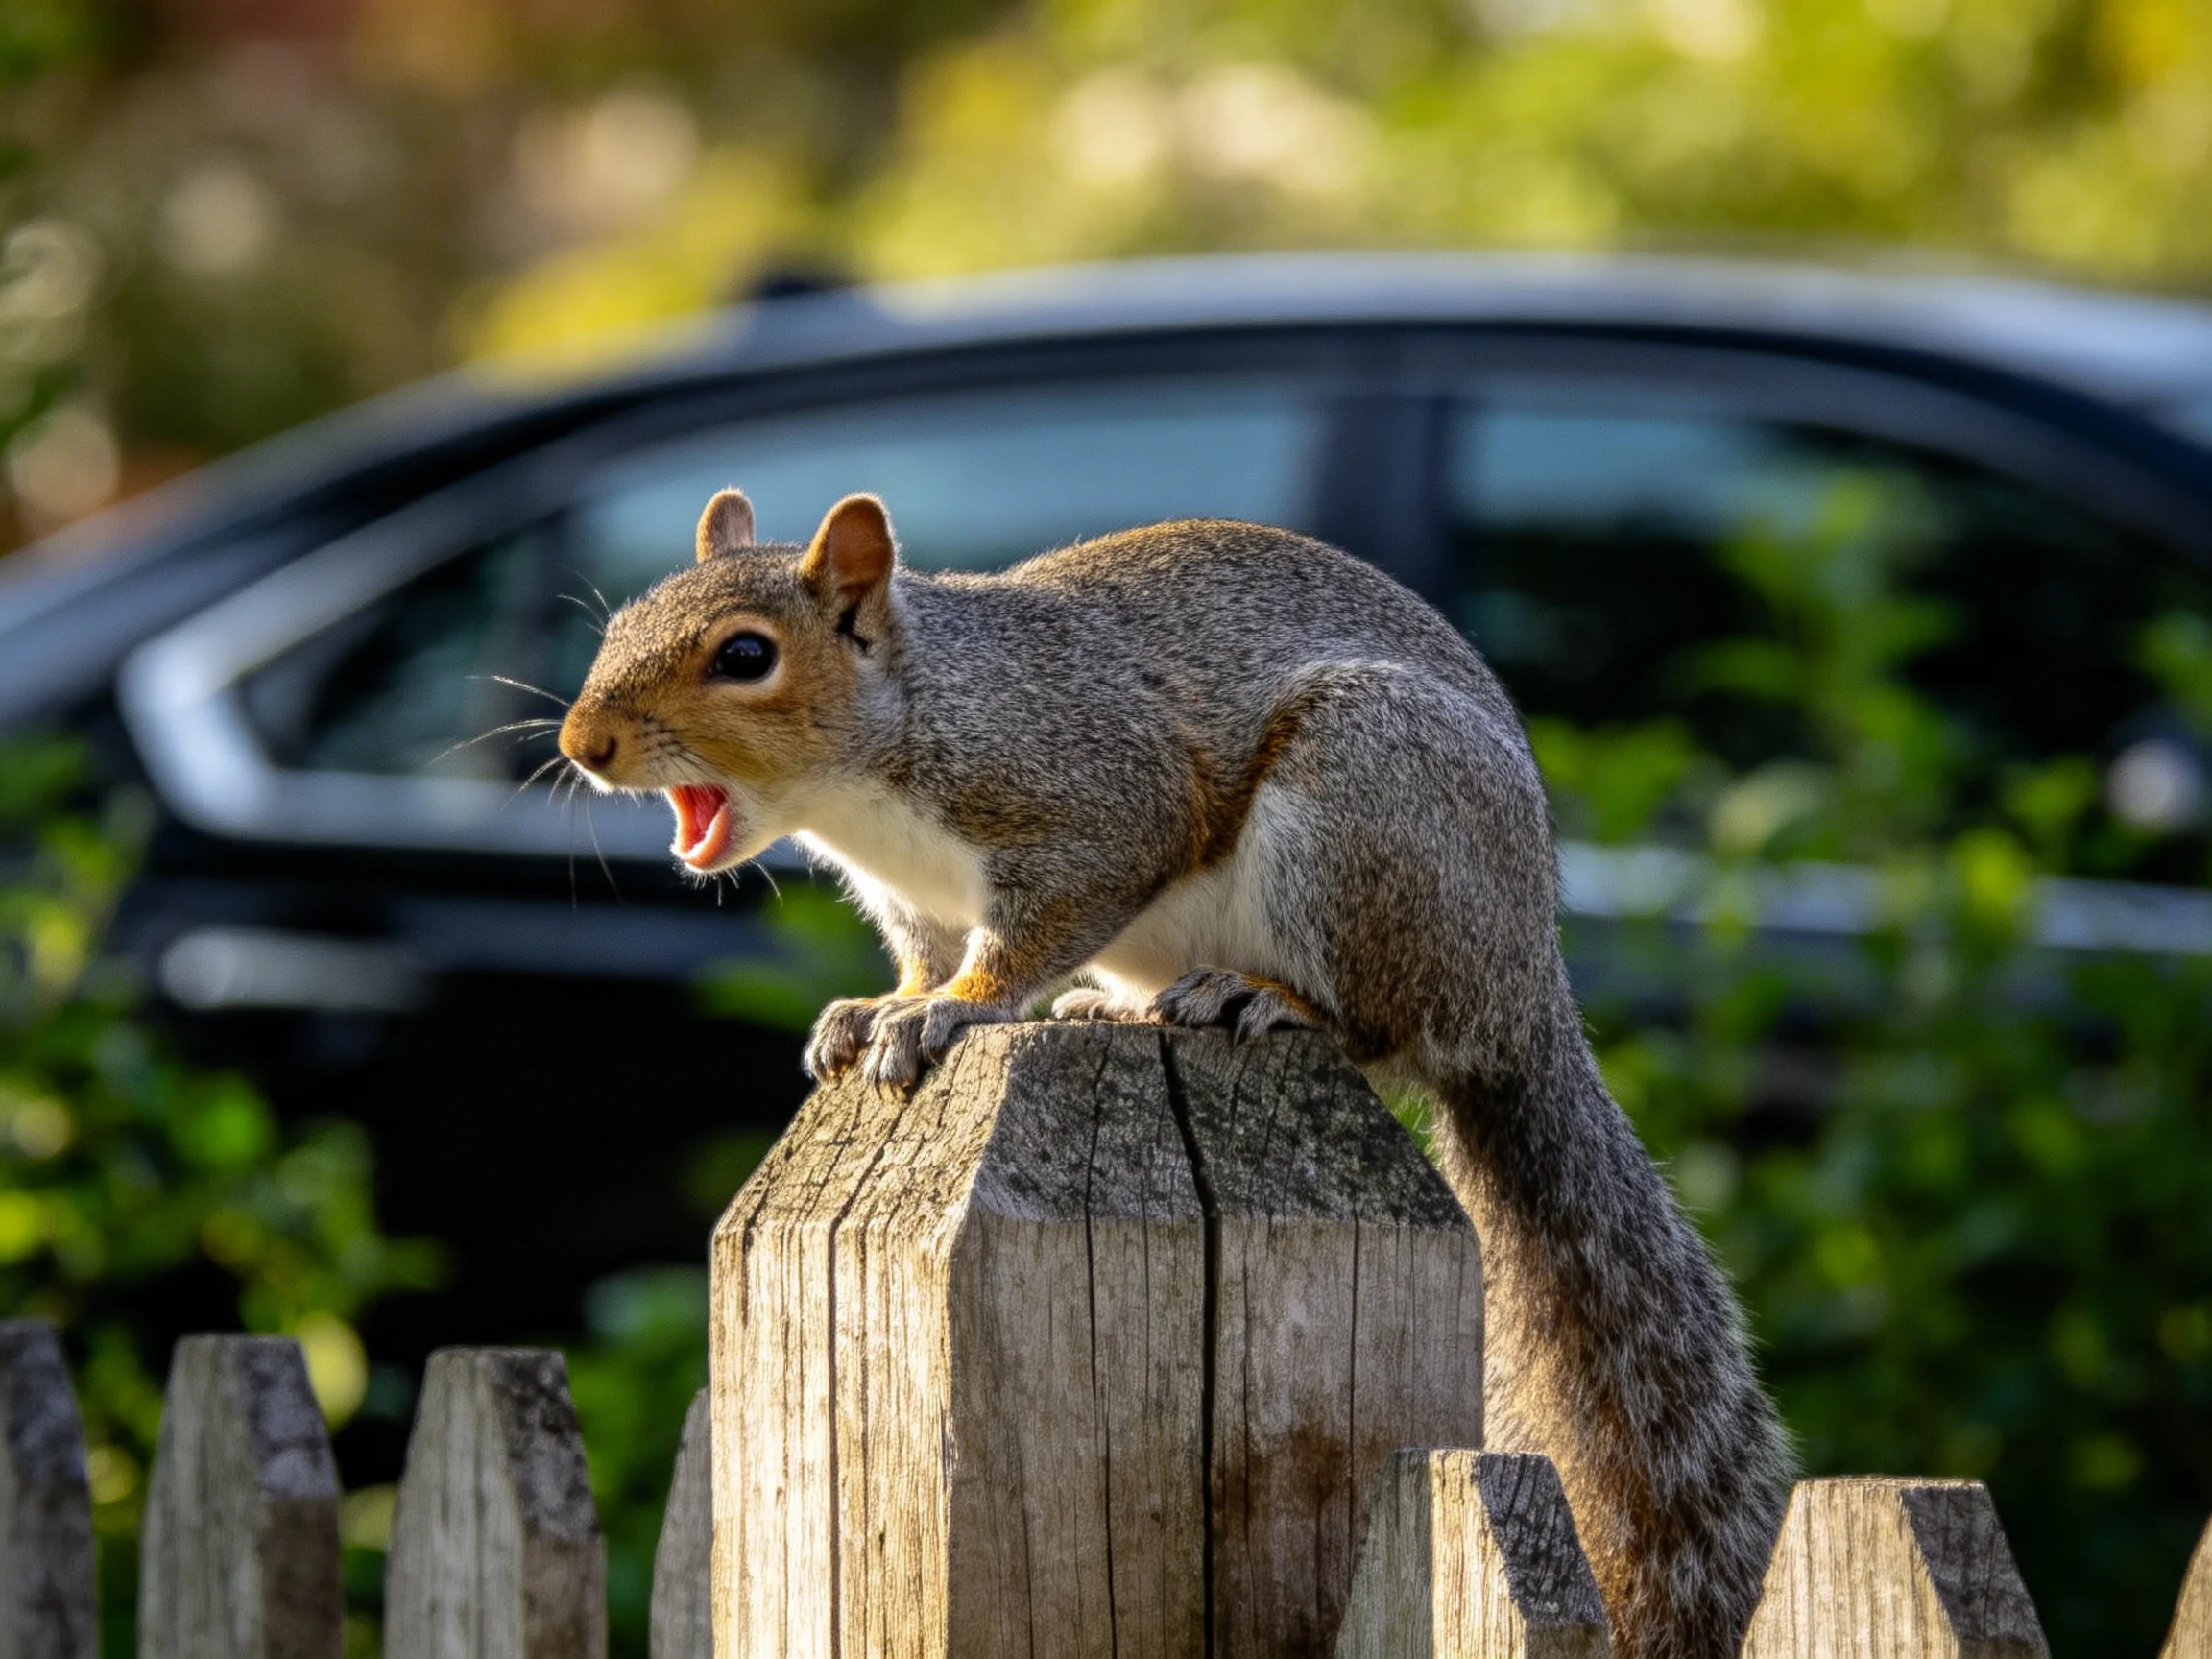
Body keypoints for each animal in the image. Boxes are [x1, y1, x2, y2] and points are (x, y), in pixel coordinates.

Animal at [558, 488, 1795, 1659]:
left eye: (745, 655)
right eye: (615, 625)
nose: (581, 745)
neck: (894, 747)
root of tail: (1523, 989)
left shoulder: (1097, 801)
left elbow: (1031, 931)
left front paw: (958, 1009)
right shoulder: (911, 901)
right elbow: (922, 951)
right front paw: (877, 1010)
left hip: (1368, 805)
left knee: (1377, 1026)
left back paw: (1263, 997)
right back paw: (1122, 1003)